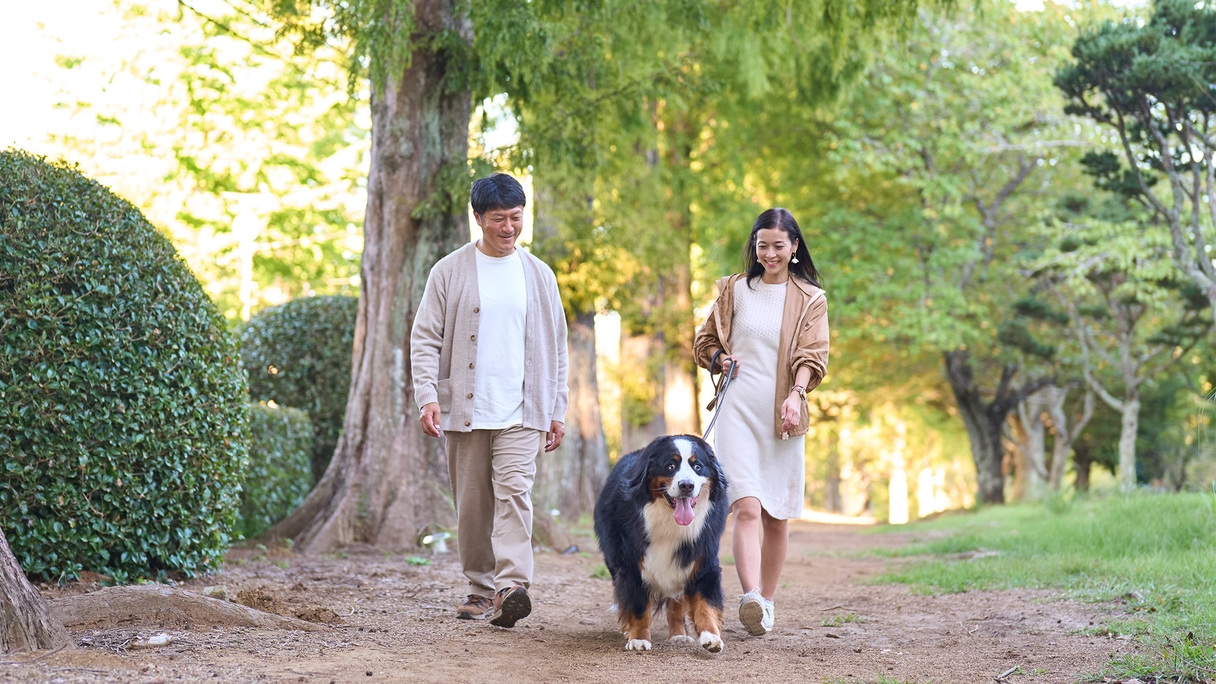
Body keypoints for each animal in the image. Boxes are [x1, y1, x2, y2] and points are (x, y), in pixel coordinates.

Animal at [593, 430, 724, 647]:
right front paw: (638, 638)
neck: (669, 521)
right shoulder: (631, 563)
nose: (686, 485)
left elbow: (705, 602)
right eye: (671, 465)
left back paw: (679, 634)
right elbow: (637, 605)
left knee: (676, 603)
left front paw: (710, 636)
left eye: (697, 466)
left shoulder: (702, 558)